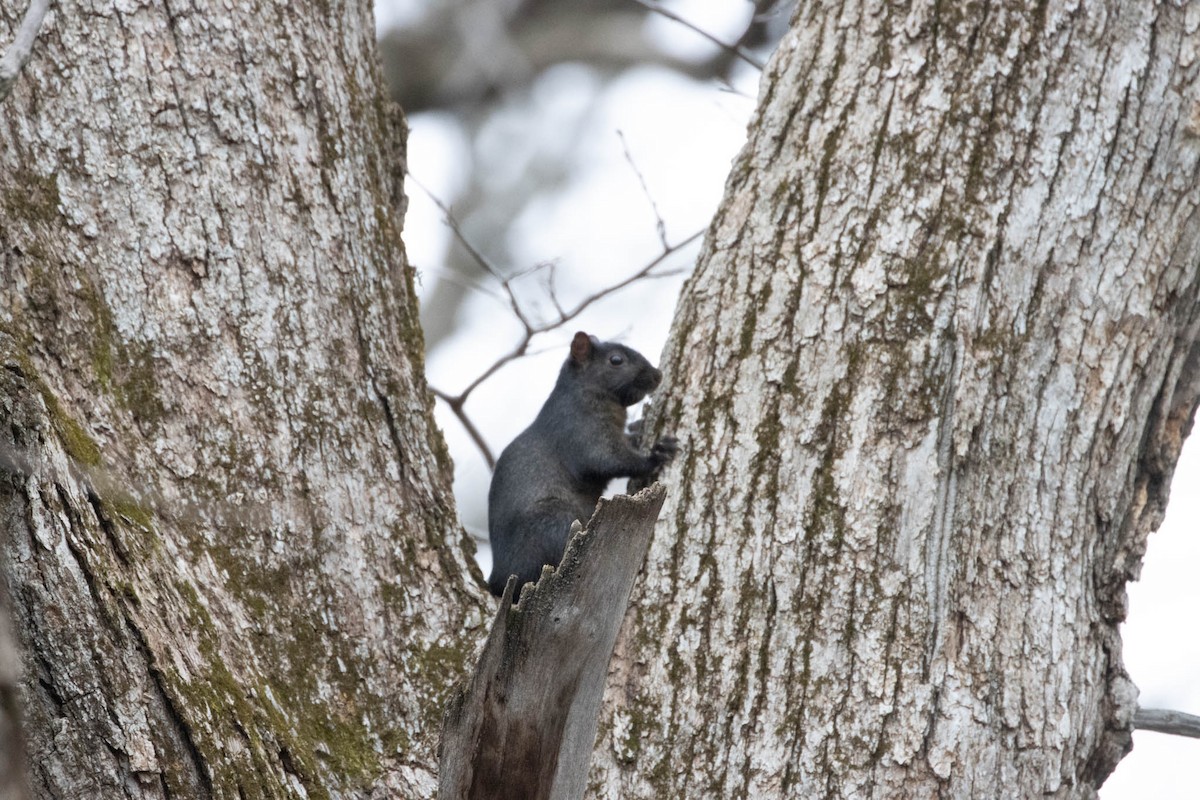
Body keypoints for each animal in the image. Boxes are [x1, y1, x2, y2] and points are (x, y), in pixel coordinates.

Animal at [486, 331, 677, 598]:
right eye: (616, 360)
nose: (657, 375)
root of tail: (499, 577)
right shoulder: (582, 431)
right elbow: (608, 459)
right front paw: (656, 454)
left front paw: (638, 430)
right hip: (556, 521)